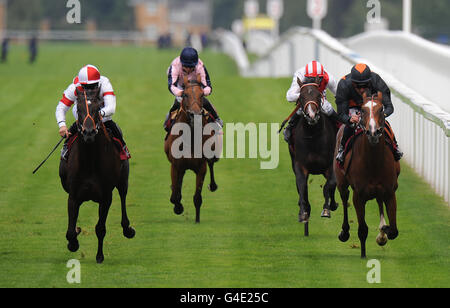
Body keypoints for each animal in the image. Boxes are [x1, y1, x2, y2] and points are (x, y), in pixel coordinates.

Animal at [59, 86, 134, 262]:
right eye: (79, 109)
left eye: (98, 108)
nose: (89, 133)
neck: (90, 162)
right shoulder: (73, 196)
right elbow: (70, 231)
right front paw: (73, 242)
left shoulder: (106, 197)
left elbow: (100, 228)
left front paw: (99, 256)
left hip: (123, 180)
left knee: (123, 196)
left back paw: (127, 229)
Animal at [163, 74, 220, 224]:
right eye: (185, 94)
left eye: (202, 95)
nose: (195, 114)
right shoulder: (175, 165)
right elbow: (175, 194)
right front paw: (178, 207)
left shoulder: (201, 167)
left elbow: (197, 197)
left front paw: (197, 220)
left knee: (212, 164)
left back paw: (213, 185)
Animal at [288, 77, 338, 236]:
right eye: (301, 97)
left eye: (318, 95)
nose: (311, 115)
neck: (313, 137)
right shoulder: (300, 166)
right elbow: (302, 186)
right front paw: (304, 212)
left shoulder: (330, 166)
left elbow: (329, 185)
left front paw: (327, 209)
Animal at [334, 91, 400, 258]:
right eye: (363, 110)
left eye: (381, 109)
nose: (373, 132)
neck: (373, 163)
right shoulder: (358, 196)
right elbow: (363, 229)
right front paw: (363, 254)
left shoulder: (390, 192)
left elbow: (393, 231)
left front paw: (384, 231)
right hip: (341, 182)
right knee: (344, 198)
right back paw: (344, 232)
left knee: (379, 201)